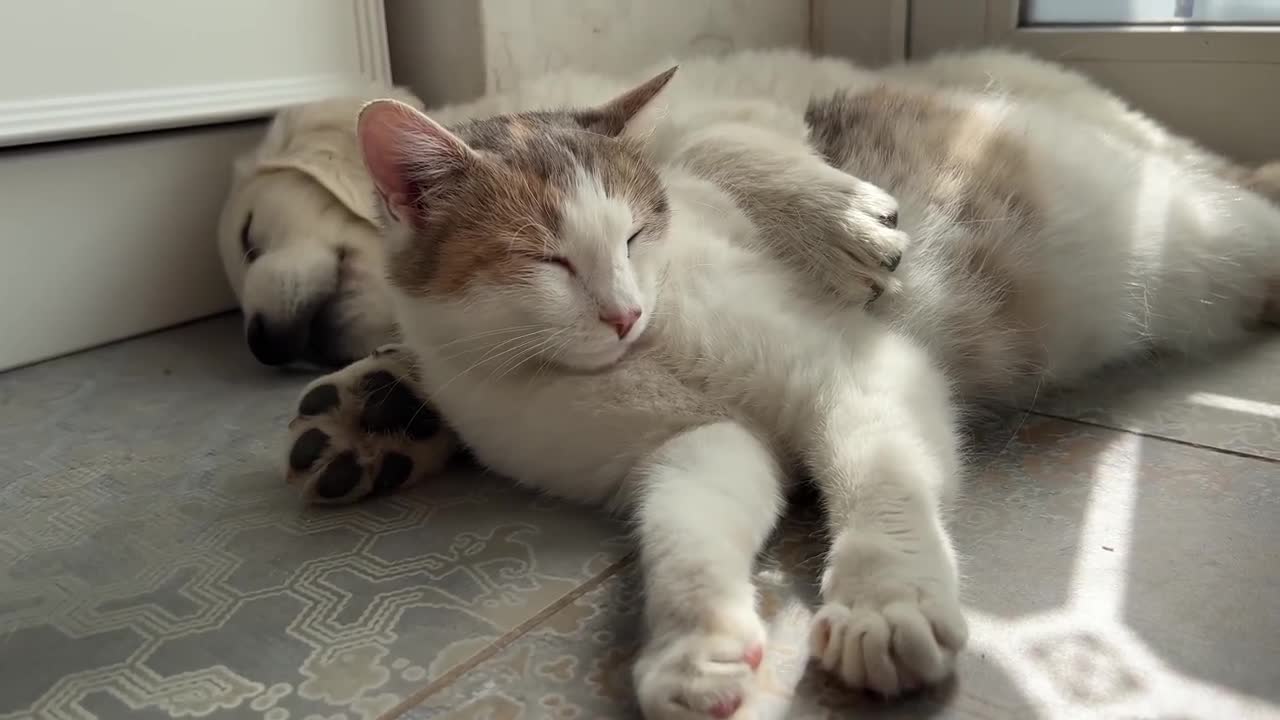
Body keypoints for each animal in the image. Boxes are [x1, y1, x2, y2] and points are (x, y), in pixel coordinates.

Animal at [282, 51, 1280, 717]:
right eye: (546, 259)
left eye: (637, 233)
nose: (624, 313)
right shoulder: (700, 447)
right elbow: (685, 529)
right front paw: (698, 647)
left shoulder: (855, 375)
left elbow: (881, 485)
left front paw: (885, 602)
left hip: (1206, 227)